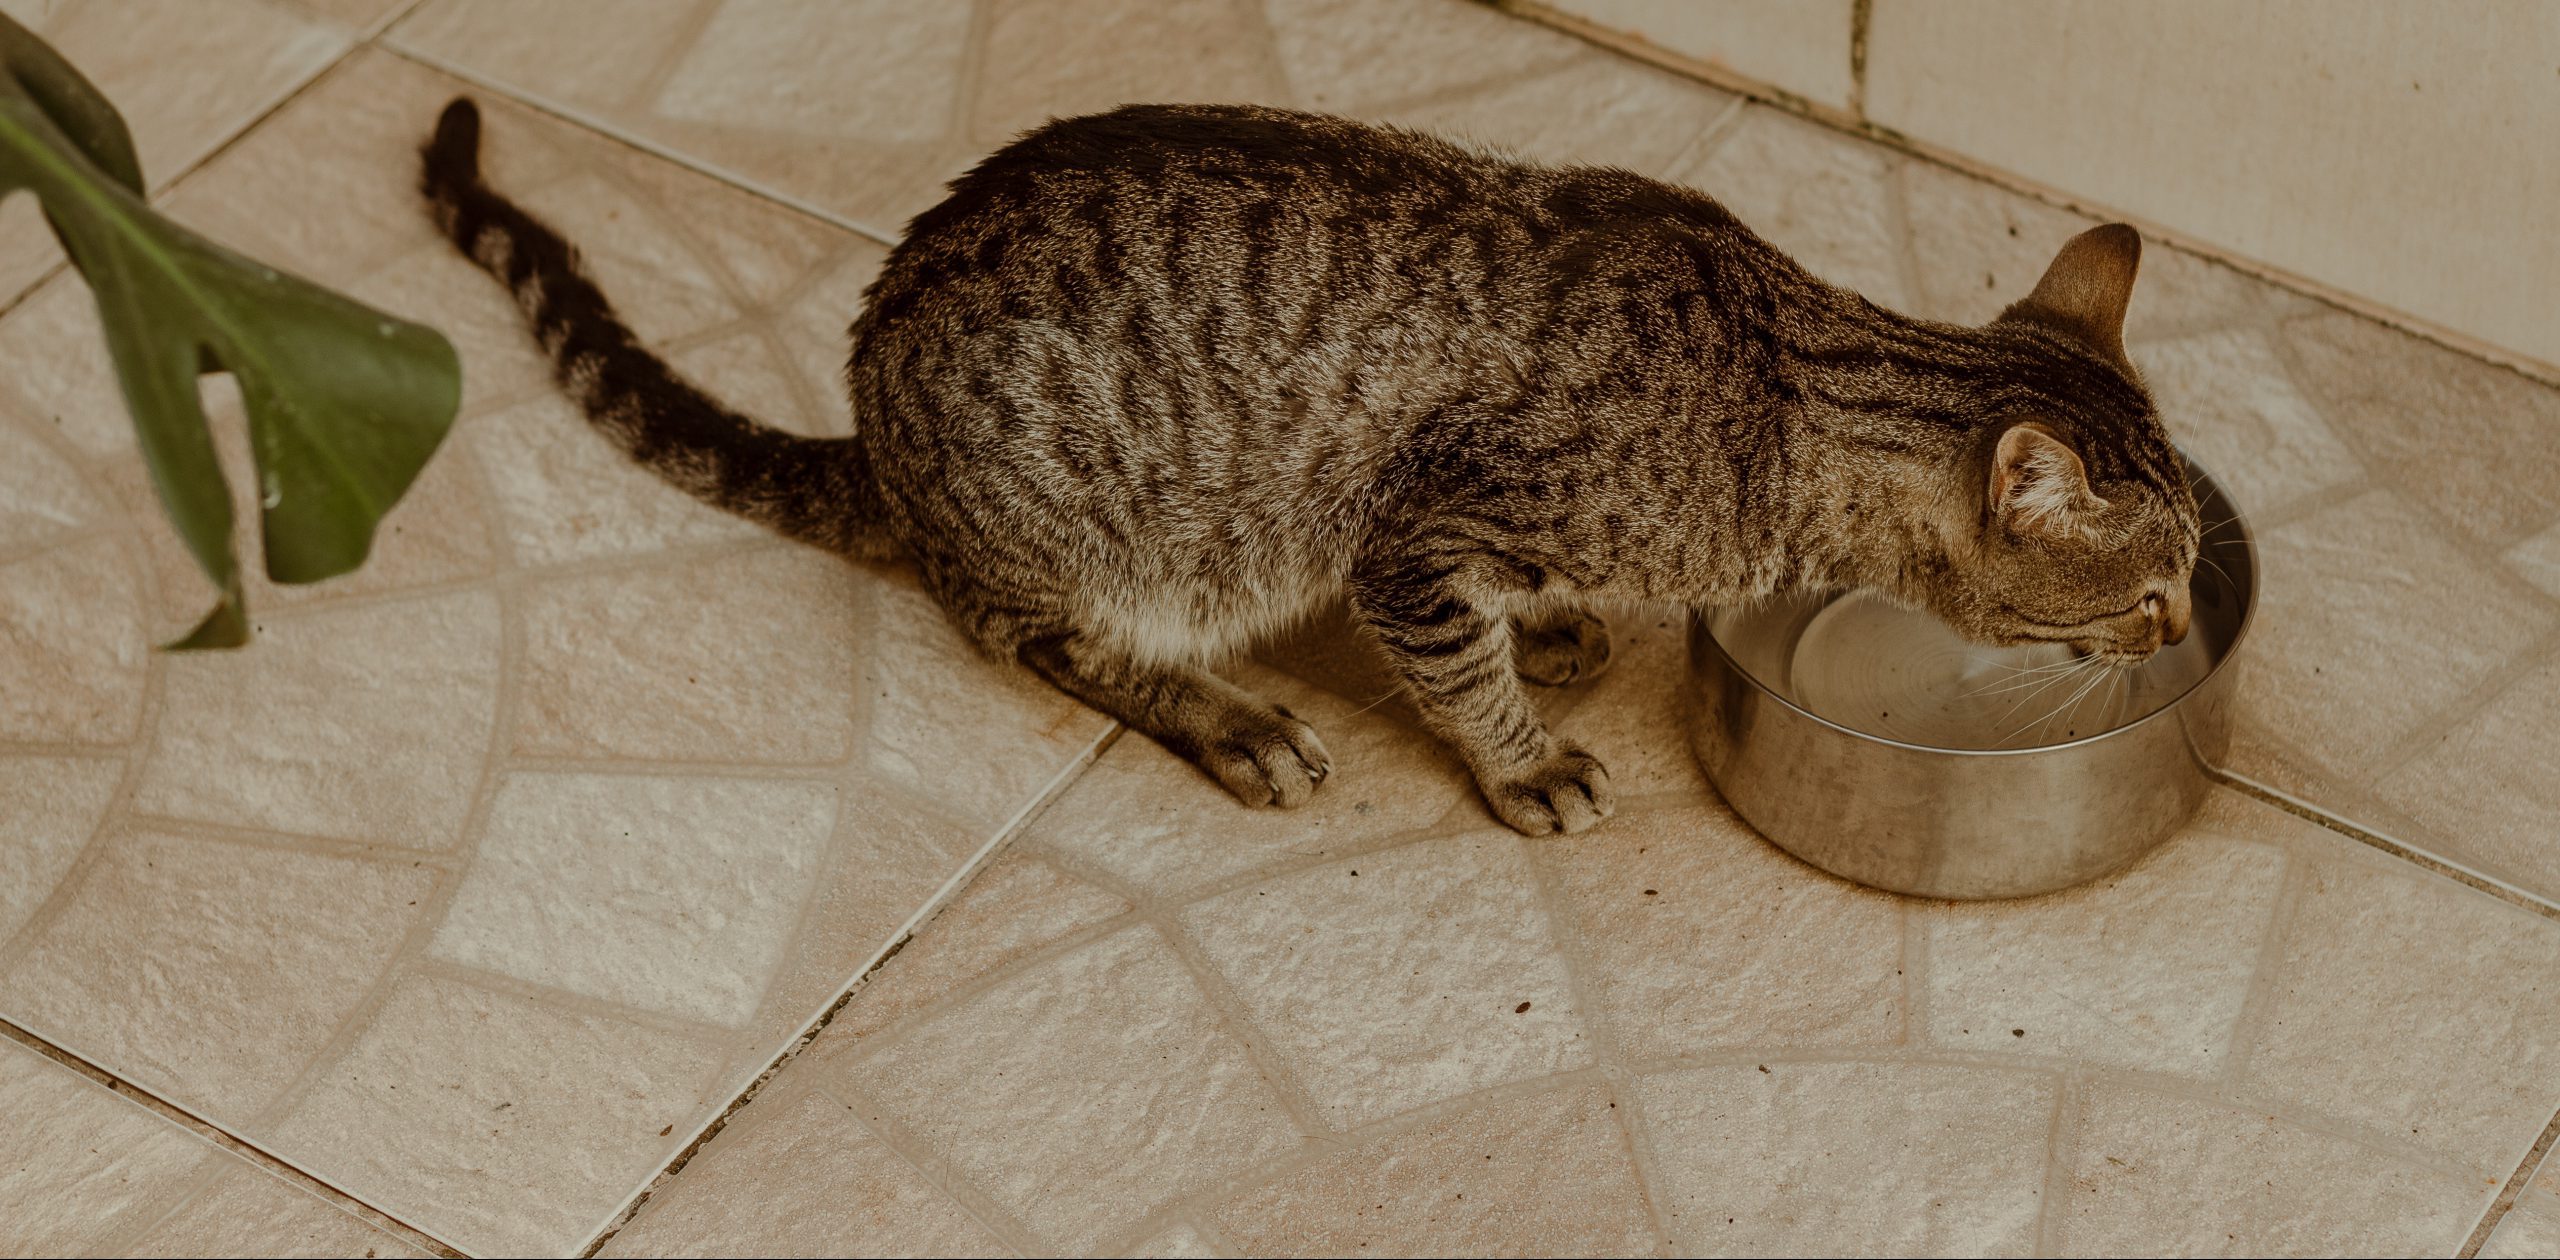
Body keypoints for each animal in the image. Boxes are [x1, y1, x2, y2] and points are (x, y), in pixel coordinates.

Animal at [419, 96, 2201, 834]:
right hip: (1086, 539)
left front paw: (1555, 624)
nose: (2183, 628)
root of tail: (875, 419)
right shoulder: (1409, 543)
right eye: (2155, 586)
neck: (1782, 387)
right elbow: (1460, 671)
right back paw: (1237, 720)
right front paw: (1523, 758)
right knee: (1053, 644)